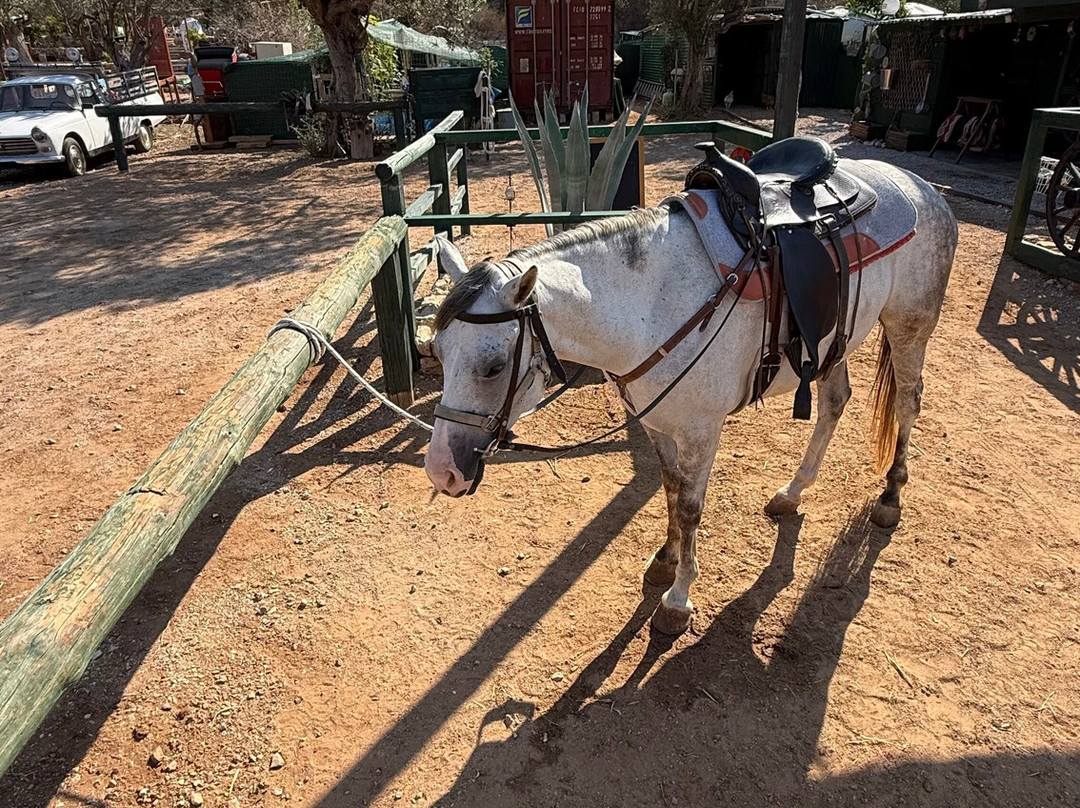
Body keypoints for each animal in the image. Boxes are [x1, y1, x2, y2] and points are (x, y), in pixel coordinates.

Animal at [423, 156, 957, 636]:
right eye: (437, 351)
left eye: (493, 366)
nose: (441, 472)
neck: (650, 305)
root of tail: (924, 187)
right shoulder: (655, 421)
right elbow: (670, 488)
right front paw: (665, 559)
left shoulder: (702, 430)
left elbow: (691, 506)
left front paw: (677, 601)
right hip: (832, 340)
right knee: (834, 401)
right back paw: (793, 491)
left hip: (909, 326)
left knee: (908, 403)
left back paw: (890, 496)